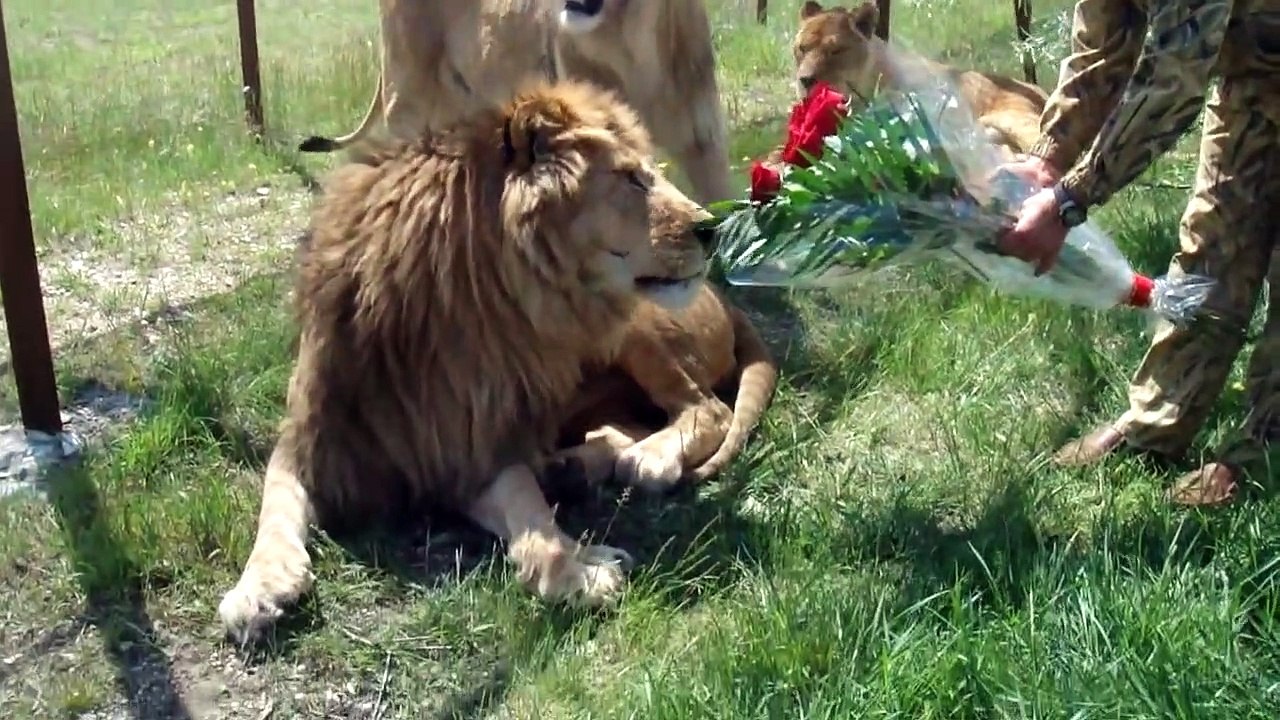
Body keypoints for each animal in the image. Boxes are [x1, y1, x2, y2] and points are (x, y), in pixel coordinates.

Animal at [218, 79, 715, 646]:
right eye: (632, 177)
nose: (714, 227)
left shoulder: (479, 448)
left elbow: (527, 505)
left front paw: (575, 567)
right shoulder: (321, 440)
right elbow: (275, 504)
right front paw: (258, 590)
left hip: (635, 328)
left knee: (706, 406)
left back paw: (648, 457)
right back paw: (573, 467)